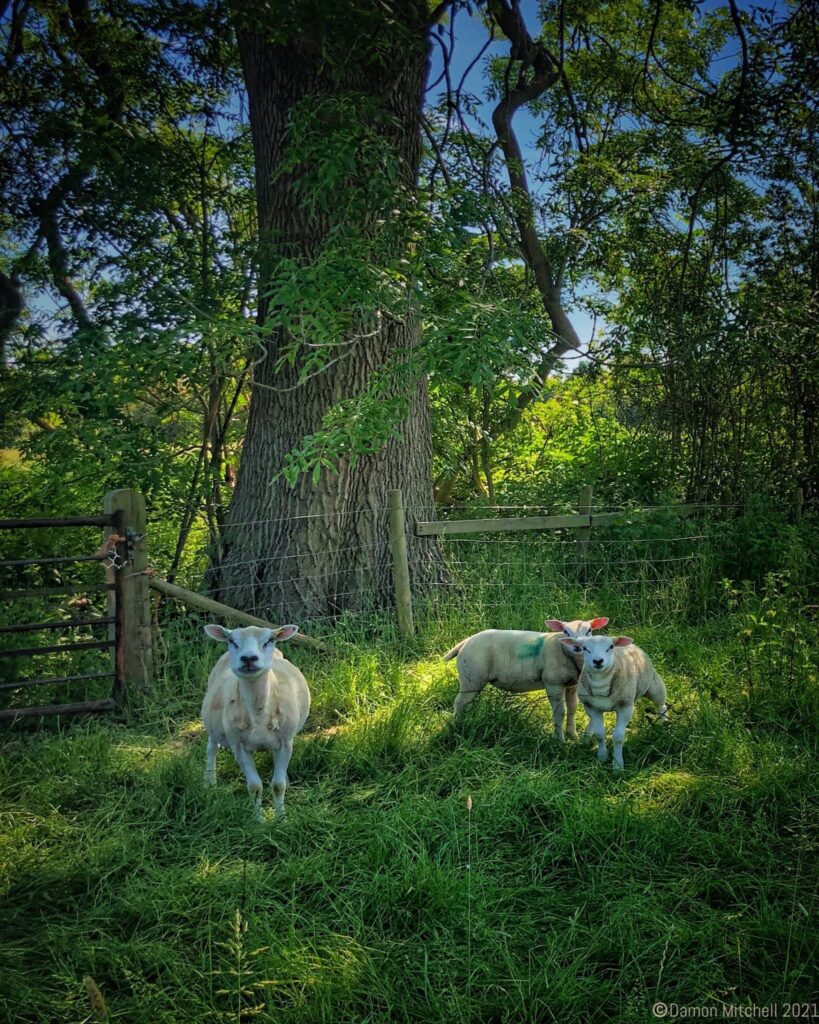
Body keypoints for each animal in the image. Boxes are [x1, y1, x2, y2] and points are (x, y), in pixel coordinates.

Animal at [201, 623, 311, 819]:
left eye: (270, 640)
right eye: (232, 640)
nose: (248, 658)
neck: (258, 710)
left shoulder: (285, 743)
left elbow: (278, 785)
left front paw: (281, 818)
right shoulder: (239, 747)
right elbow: (255, 787)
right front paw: (258, 820)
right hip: (214, 726)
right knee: (211, 749)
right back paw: (210, 783)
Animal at [444, 617, 609, 741]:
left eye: (589, 631)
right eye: (565, 631)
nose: (577, 646)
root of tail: (466, 641)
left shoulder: (571, 685)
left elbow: (572, 708)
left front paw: (572, 735)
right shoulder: (553, 684)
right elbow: (560, 712)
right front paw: (560, 740)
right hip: (471, 678)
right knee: (460, 703)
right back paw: (458, 727)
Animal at [561, 633, 668, 771]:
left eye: (610, 647)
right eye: (585, 648)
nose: (598, 661)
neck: (600, 683)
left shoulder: (625, 707)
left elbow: (618, 738)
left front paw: (618, 766)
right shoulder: (591, 707)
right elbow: (599, 734)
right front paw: (602, 757)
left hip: (654, 685)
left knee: (661, 705)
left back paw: (664, 724)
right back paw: (586, 737)